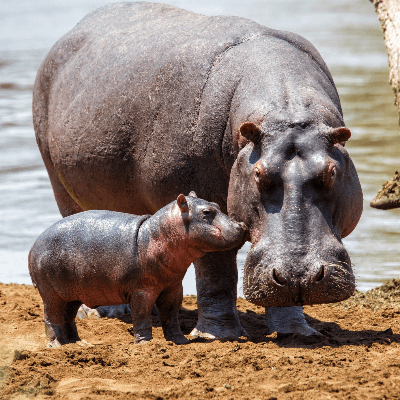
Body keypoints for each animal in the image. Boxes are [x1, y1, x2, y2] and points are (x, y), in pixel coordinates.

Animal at [28, 191, 245, 346]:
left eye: (217, 205)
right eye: (206, 213)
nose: (241, 225)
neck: (157, 234)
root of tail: (33, 246)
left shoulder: (173, 287)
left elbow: (171, 315)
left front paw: (180, 341)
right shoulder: (141, 291)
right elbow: (141, 315)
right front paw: (145, 344)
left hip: (72, 294)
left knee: (69, 317)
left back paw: (77, 343)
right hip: (51, 294)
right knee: (51, 317)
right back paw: (56, 345)